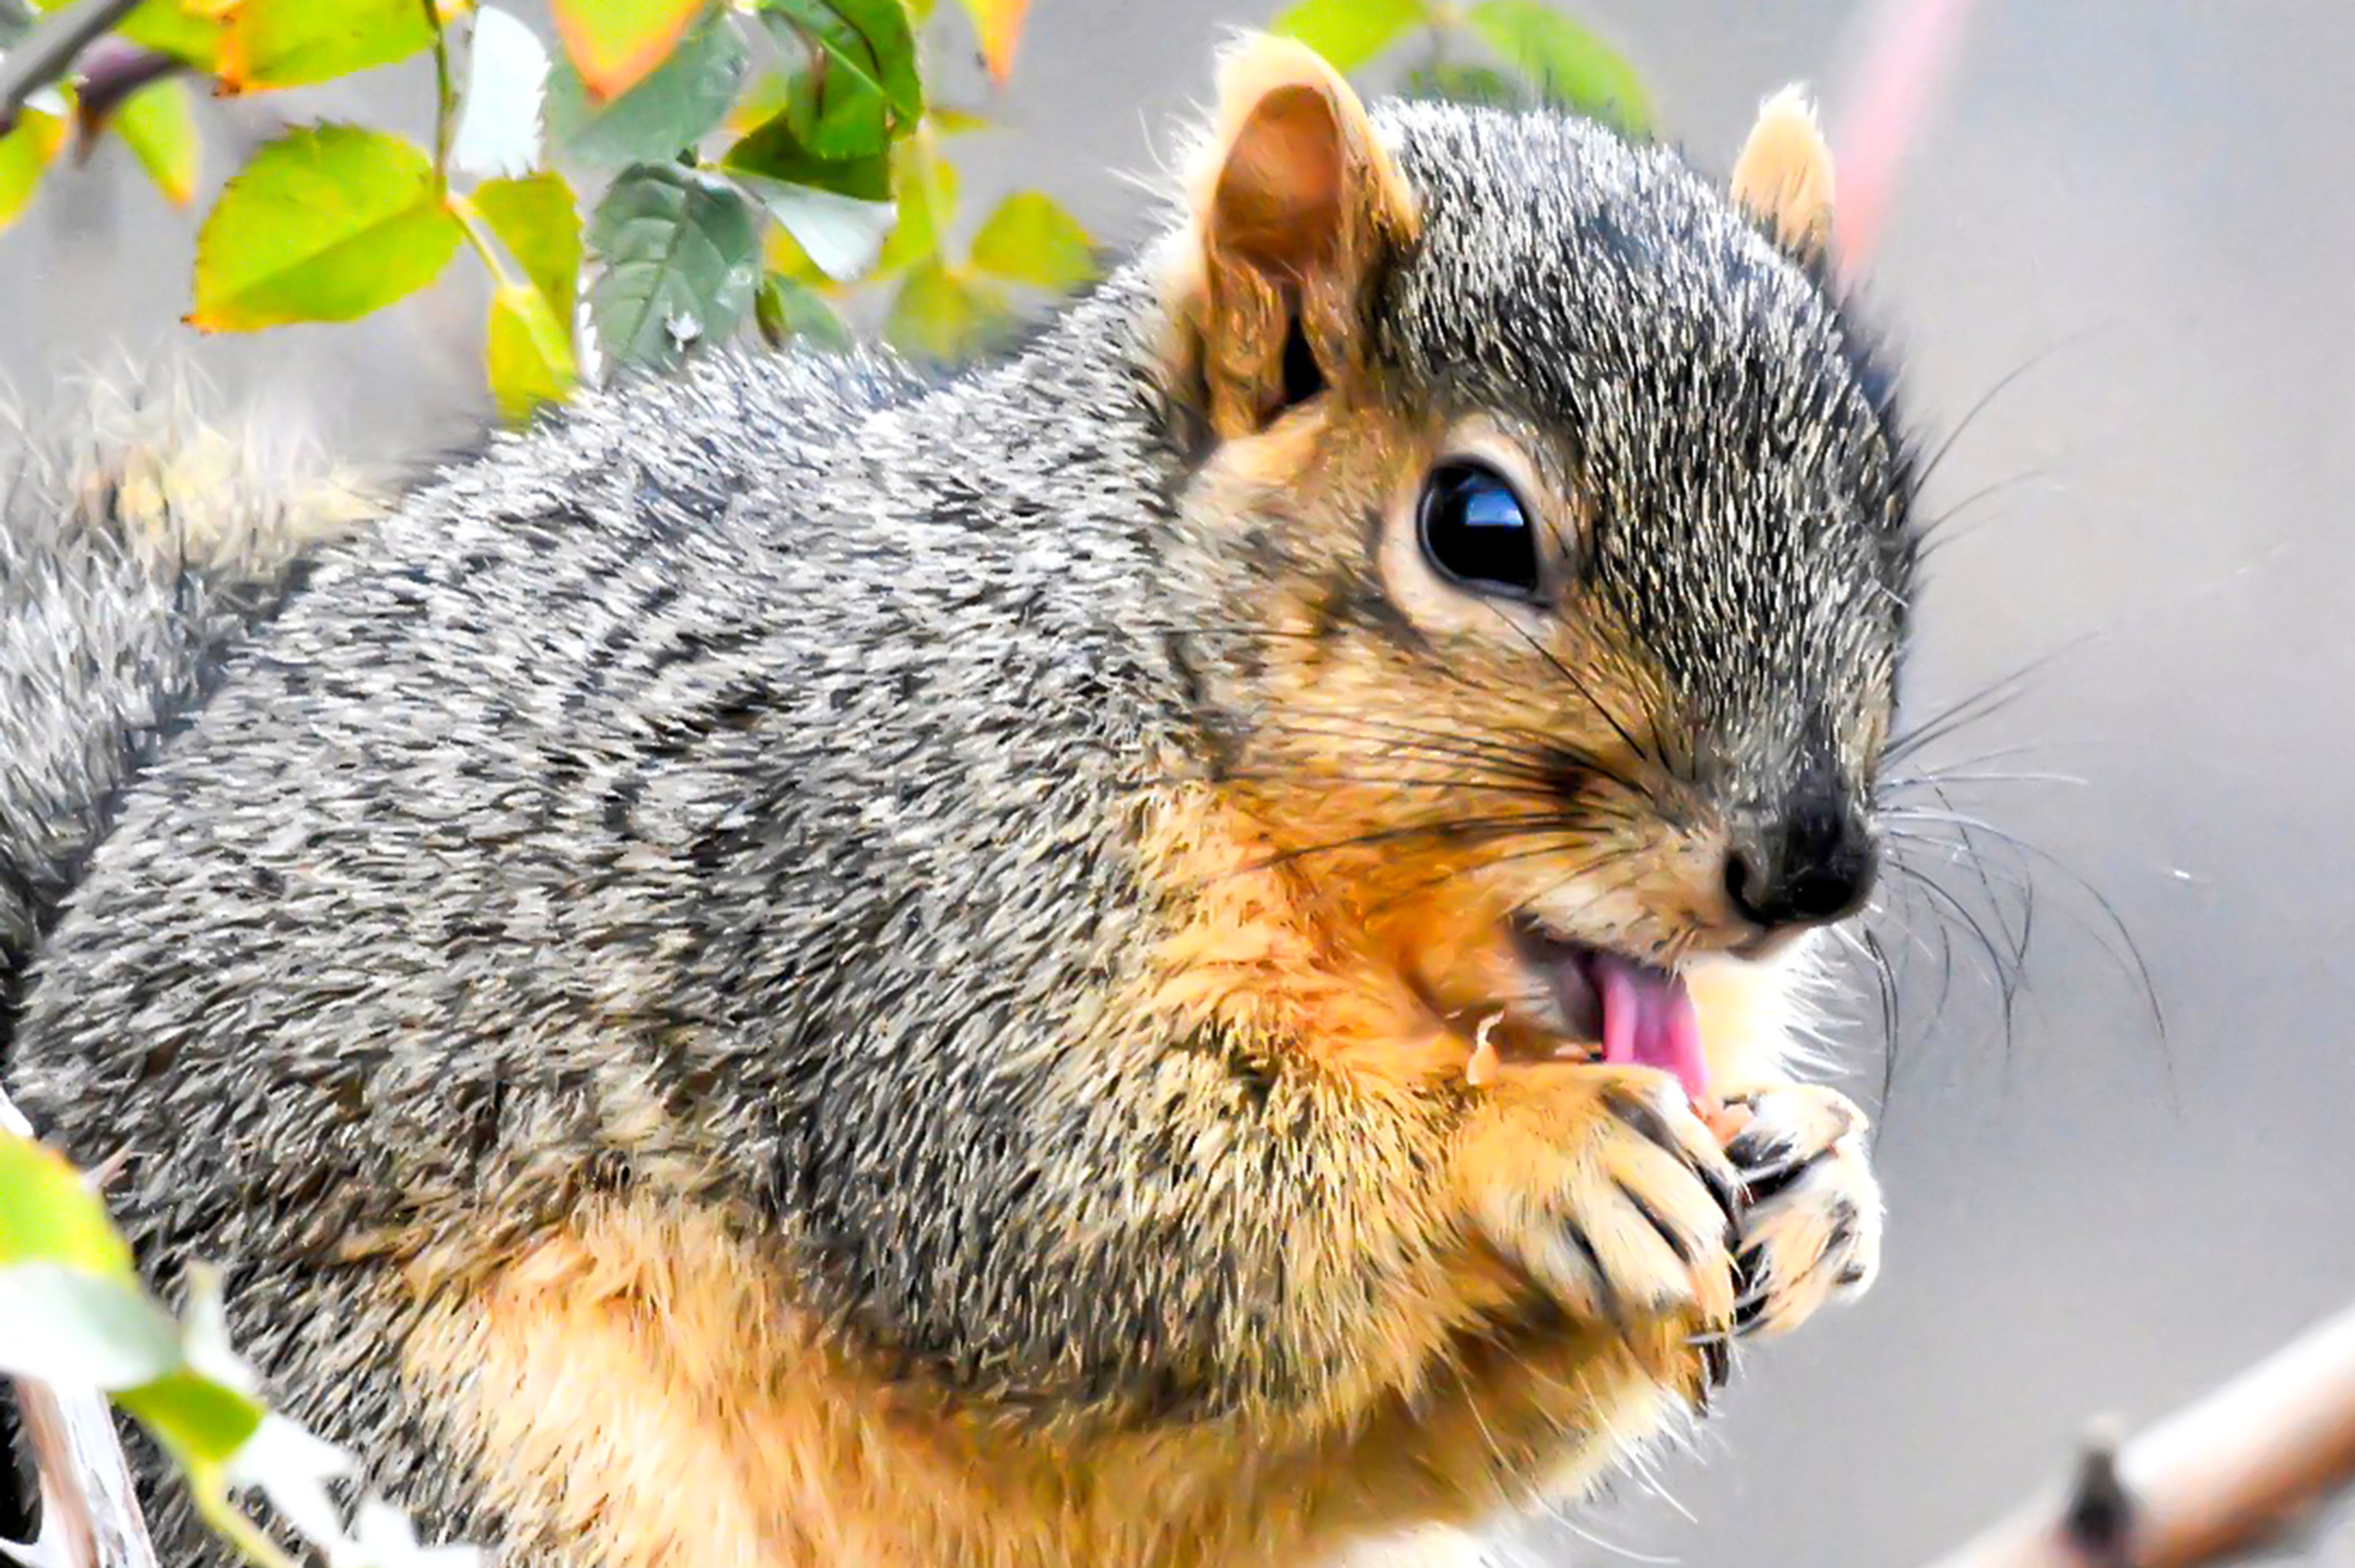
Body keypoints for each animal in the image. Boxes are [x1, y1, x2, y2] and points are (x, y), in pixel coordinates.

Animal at [0, 36, 1912, 1563]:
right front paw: (1531, 1143)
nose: (1812, 865)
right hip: (395, 1454)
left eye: (1887, 509)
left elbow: (1377, 1437)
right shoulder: (899, 883)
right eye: (1477, 527)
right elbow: (1046, 1187)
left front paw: (1816, 1180)